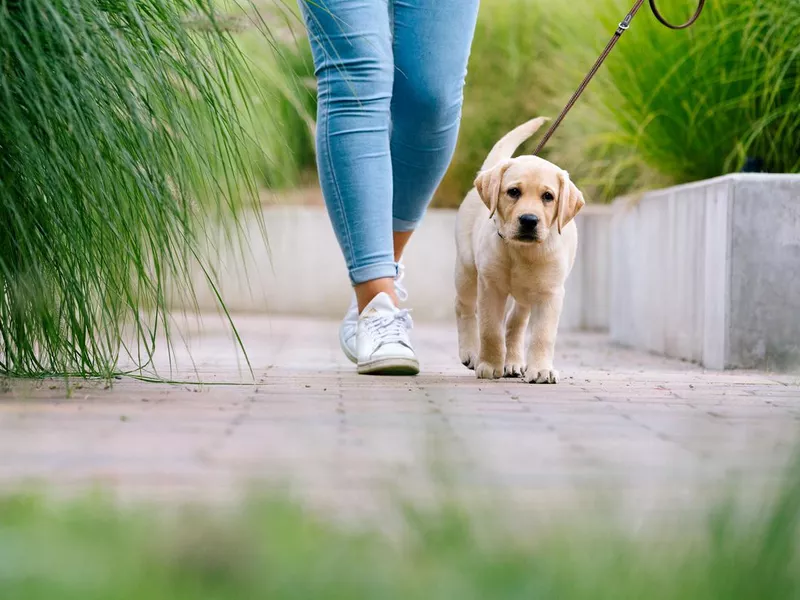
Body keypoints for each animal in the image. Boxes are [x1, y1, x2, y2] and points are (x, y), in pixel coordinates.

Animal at [454, 118, 584, 384]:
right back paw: (471, 352)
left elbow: (542, 335)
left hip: (526, 295)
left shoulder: (550, 293)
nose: (529, 220)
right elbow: (491, 330)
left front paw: (541, 370)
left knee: (515, 322)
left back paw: (512, 362)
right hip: (466, 269)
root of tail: (491, 167)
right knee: (464, 308)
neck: (522, 251)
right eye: (513, 192)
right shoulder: (490, 286)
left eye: (548, 196)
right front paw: (489, 365)